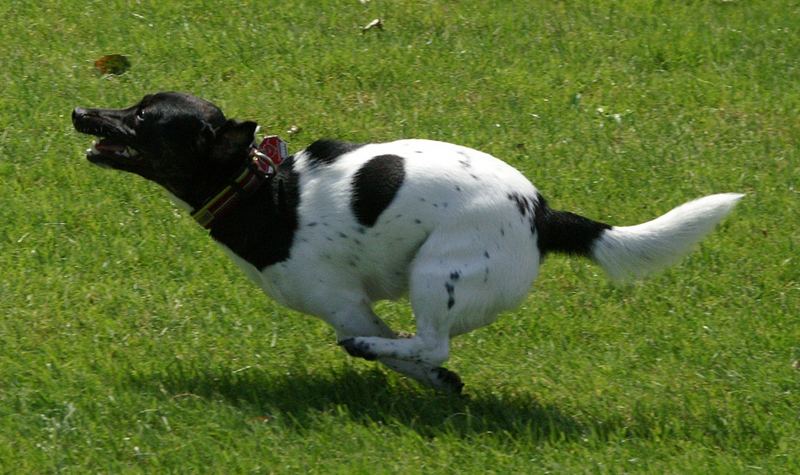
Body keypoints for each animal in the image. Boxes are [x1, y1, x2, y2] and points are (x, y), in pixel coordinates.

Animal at [72, 91, 740, 392]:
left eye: (142, 120)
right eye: (132, 105)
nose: (79, 111)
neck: (261, 189)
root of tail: (543, 214)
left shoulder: (344, 305)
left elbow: (400, 348)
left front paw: (399, 363)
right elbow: (421, 364)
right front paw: (439, 387)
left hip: (436, 274)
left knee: (430, 340)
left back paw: (371, 350)